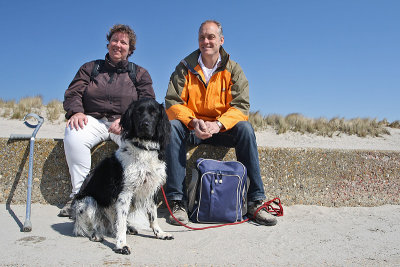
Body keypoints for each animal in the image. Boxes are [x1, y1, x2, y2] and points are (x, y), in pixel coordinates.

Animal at [72, 98, 173, 255]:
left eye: (154, 113)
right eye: (138, 112)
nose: (144, 124)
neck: (144, 148)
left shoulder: (151, 190)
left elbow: (153, 216)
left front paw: (160, 233)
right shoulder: (125, 193)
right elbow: (120, 223)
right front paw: (121, 245)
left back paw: (129, 228)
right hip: (87, 201)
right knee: (92, 227)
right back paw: (97, 234)